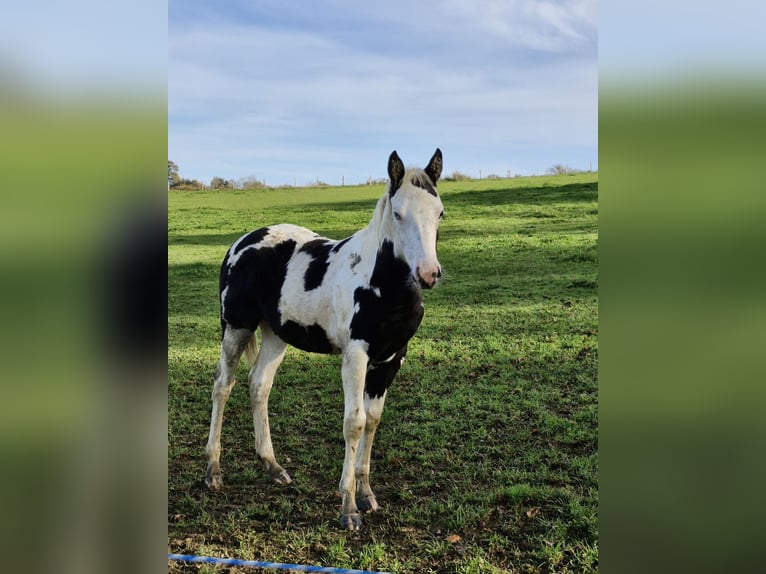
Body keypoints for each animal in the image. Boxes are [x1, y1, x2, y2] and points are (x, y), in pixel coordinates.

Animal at [206, 148, 444, 532]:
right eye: (398, 213)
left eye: (439, 212)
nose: (428, 274)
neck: (381, 284)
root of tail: (240, 243)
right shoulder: (356, 356)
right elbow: (354, 423)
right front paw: (348, 506)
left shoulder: (391, 359)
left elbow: (373, 420)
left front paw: (366, 493)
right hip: (236, 327)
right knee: (222, 386)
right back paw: (213, 469)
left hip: (276, 334)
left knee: (258, 385)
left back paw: (273, 466)